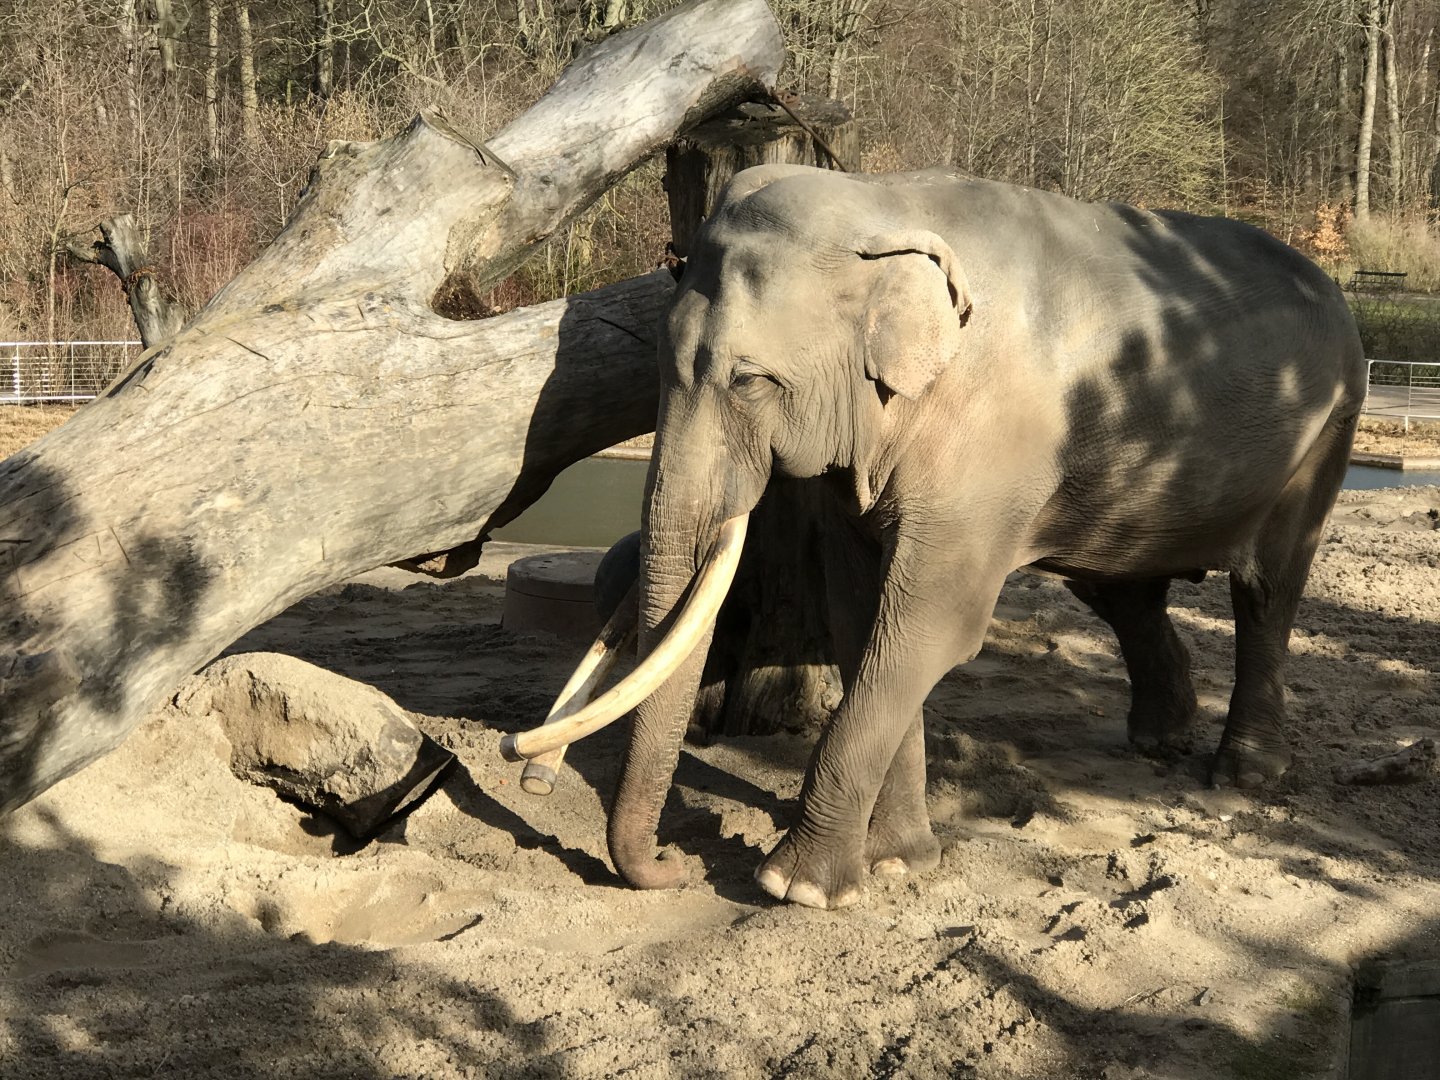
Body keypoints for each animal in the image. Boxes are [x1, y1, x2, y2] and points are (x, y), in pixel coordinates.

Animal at [506, 163, 1367, 910]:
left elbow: (929, 628)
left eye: (750, 381)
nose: (672, 866)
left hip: (1330, 429)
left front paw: (796, 887)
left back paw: (1242, 778)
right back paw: (1158, 740)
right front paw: (899, 863)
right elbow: (862, 619)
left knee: (1266, 590)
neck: (879, 205)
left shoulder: (991, 445)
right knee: (1120, 589)